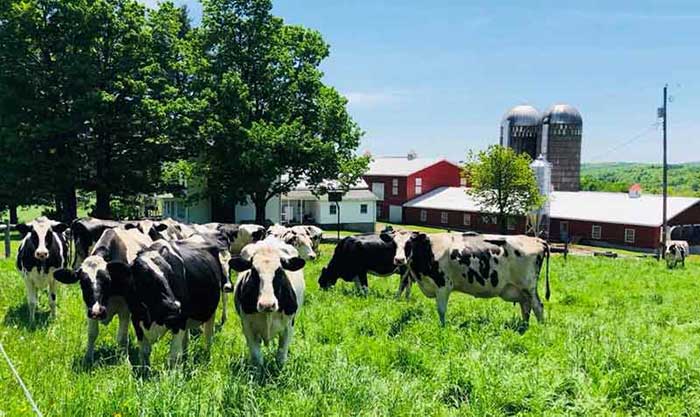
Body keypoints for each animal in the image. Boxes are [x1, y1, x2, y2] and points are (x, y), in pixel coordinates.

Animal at [53, 228, 153, 360]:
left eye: (107, 281)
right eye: (82, 283)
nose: (97, 311)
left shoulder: (125, 310)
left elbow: (122, 338)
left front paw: (123, 359)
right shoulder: (89, 308)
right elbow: (92, 334)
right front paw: (88, 358)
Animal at [400, 232, 552, 326]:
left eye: (409, 245)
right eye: (396, 244)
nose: (399, 259)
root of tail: (536, 240)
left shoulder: (443, 286)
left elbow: (441, 311)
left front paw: (442, 328)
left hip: (528, 287)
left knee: (538, 307)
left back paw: (539, 329)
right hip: (521, 290)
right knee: (526, 307)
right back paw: (524, 326)